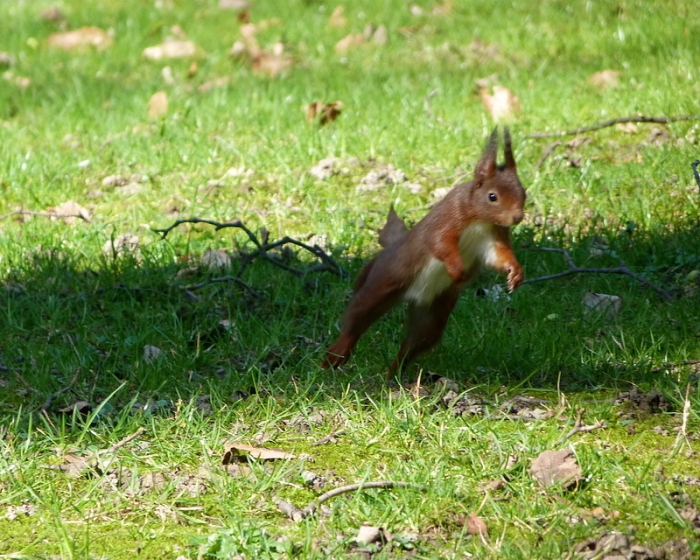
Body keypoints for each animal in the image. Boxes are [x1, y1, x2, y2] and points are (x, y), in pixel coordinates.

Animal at [323, 127, 526, 379]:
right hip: (384, 283)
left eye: (524, 192)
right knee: (356, 319)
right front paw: (457, 270)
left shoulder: (493, 238)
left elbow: (498, 256)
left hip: (431, 314)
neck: (480, 219)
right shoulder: (446, 221)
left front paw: (515, 272)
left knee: (413, 344)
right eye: (492, 196)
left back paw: (393, 374)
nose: (517, 217)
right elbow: (440, 244)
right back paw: (336, 355)